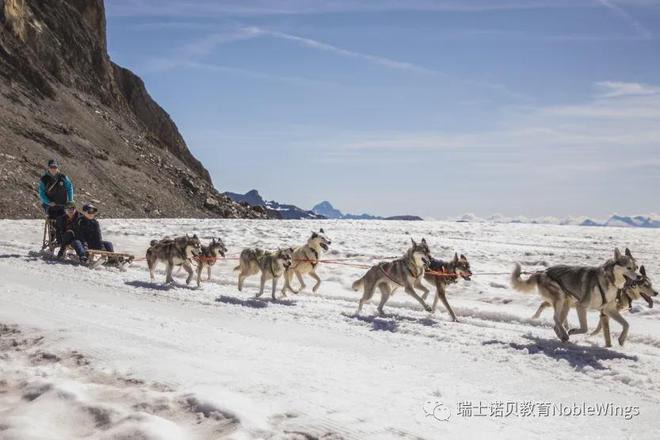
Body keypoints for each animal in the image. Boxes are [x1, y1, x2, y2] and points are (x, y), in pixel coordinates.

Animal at [510, 249, 640, 346]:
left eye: (637, 268)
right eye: (629, 268)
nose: (639, 277)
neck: (609, 280)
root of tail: (542, 272)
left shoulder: (609, 309)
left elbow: (626, 324)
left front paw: (622, 339)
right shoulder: (581, 306)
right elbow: (585, 328)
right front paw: (573, 331)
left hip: (565, 304)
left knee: (557, 323)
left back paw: (562, 336)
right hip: (560, 298)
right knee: (555, 318)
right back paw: (564, 334)